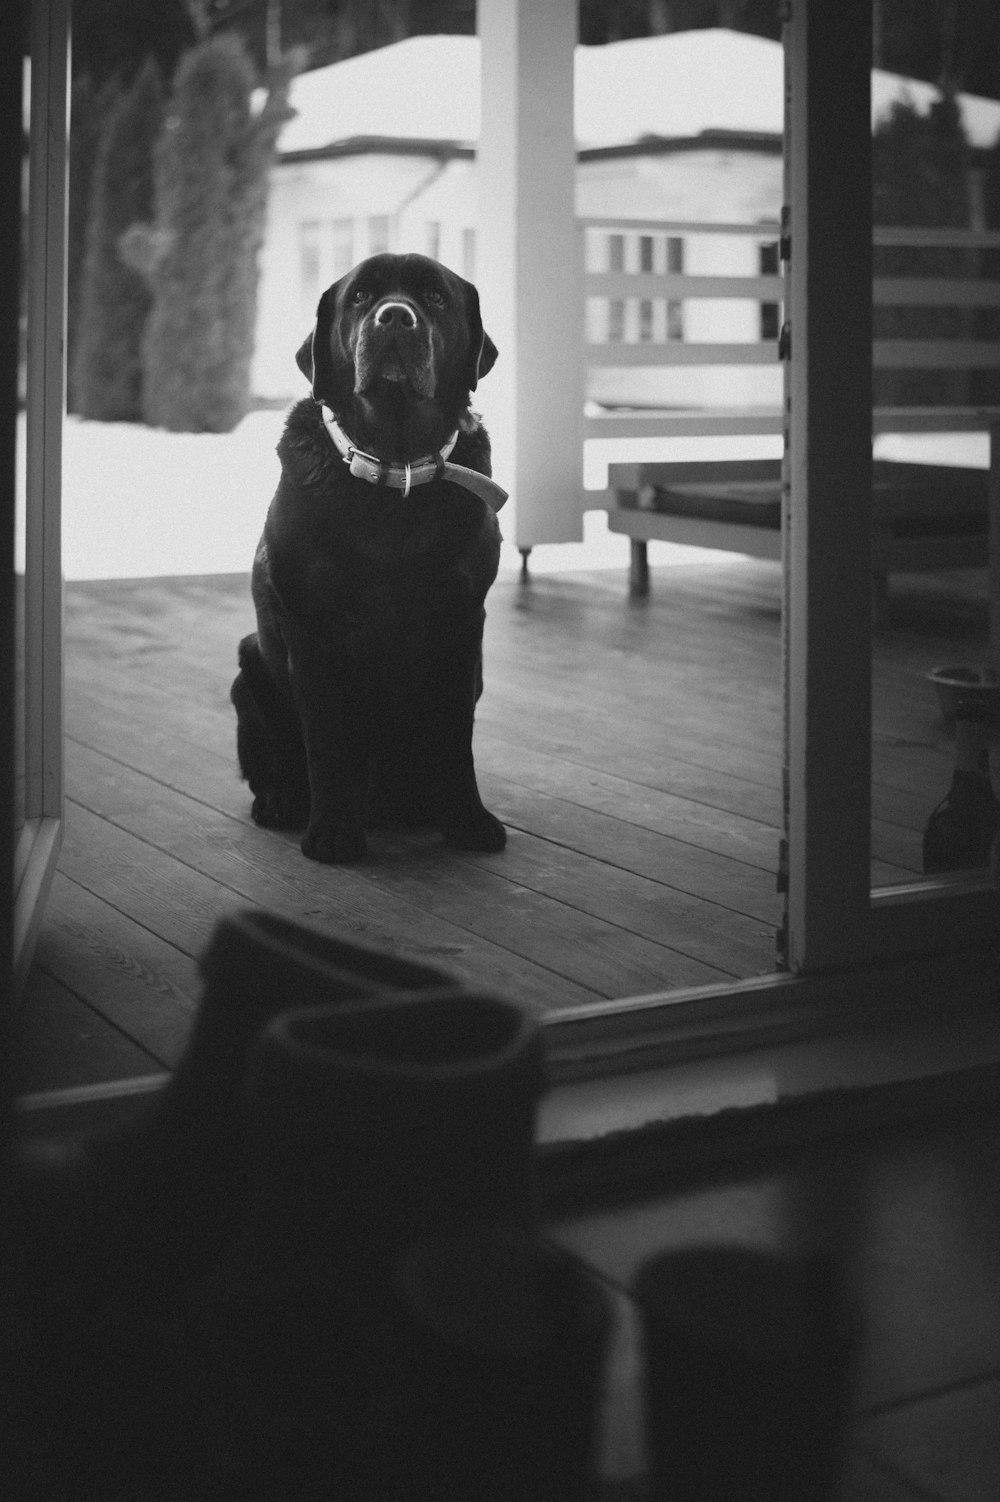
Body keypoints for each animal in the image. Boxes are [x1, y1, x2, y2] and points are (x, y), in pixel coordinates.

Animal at [228, 252, 507, 865]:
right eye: (359, 297)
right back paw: (282, 801)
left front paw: (469, 821)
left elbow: (457, 737)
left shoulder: (461, 624)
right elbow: (326, 741)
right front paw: (332, 832)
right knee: (278, 763)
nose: (395, 318)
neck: (395, 467)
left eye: (434, 296)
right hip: (250, 668)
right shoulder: (313, 628)